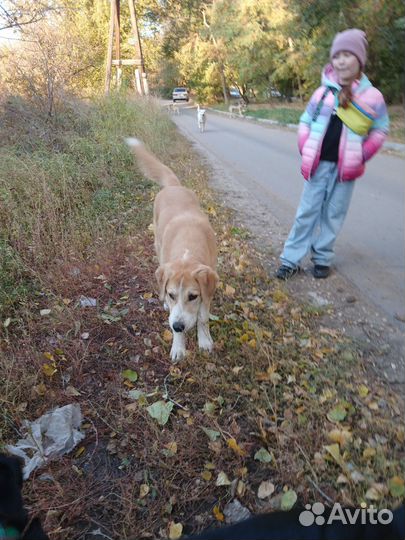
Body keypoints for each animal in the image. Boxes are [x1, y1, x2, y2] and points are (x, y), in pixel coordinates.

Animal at [124, 137, 218, 360]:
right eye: (172, 294)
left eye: (193, 296)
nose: (177, 327)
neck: (187, 249)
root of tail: (174, 186)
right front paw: (178, 345)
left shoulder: (206, 290)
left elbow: (202, 316)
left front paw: (204, 339)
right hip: (158, 246)